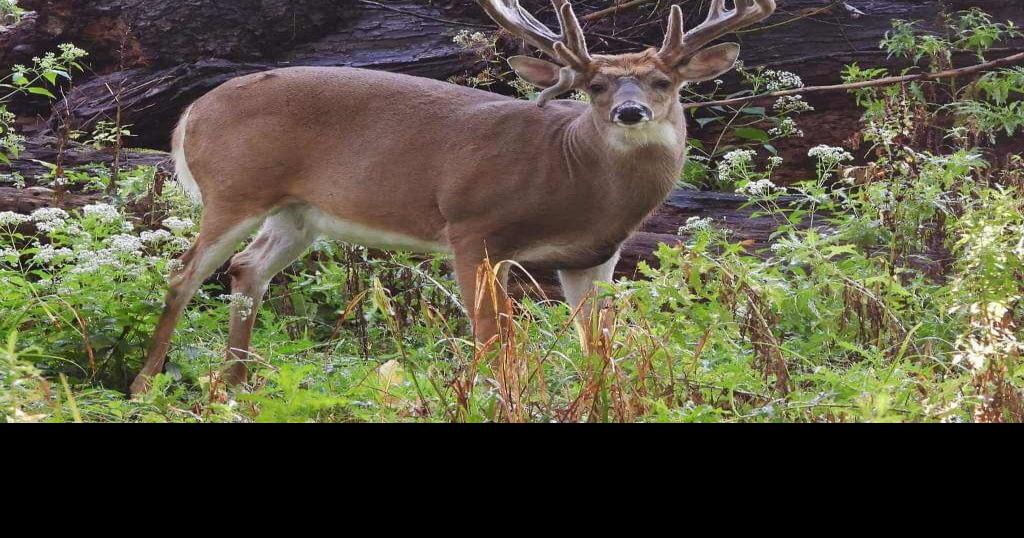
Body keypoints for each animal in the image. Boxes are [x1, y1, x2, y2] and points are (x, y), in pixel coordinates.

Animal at [129, 0, 776, 395]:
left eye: (665, 81)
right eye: (595, 86)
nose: (630, 111)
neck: (573, 177)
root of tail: (191, 113)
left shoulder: (594, 257)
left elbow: (599, 344)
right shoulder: (473, 227)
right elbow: (493, 336)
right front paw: (494, 398)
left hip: (299, 215)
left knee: (247, 268)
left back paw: (235, 385)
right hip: (234, 189)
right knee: (184, 271)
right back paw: (143, 384)